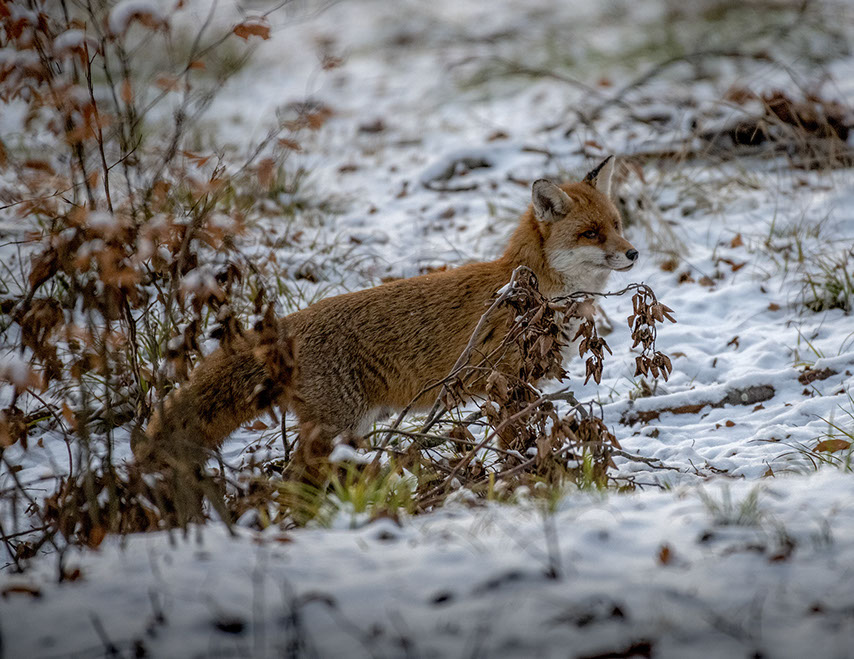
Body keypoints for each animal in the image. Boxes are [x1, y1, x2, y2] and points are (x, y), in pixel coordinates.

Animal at [138, 156, 637, 474]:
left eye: (616, 225)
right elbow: (513, 443)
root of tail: (293, 322)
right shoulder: (505, 384)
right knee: (295, 478)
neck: (542, 296)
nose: (633, 253)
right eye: (591, 234)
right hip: (340, 427)